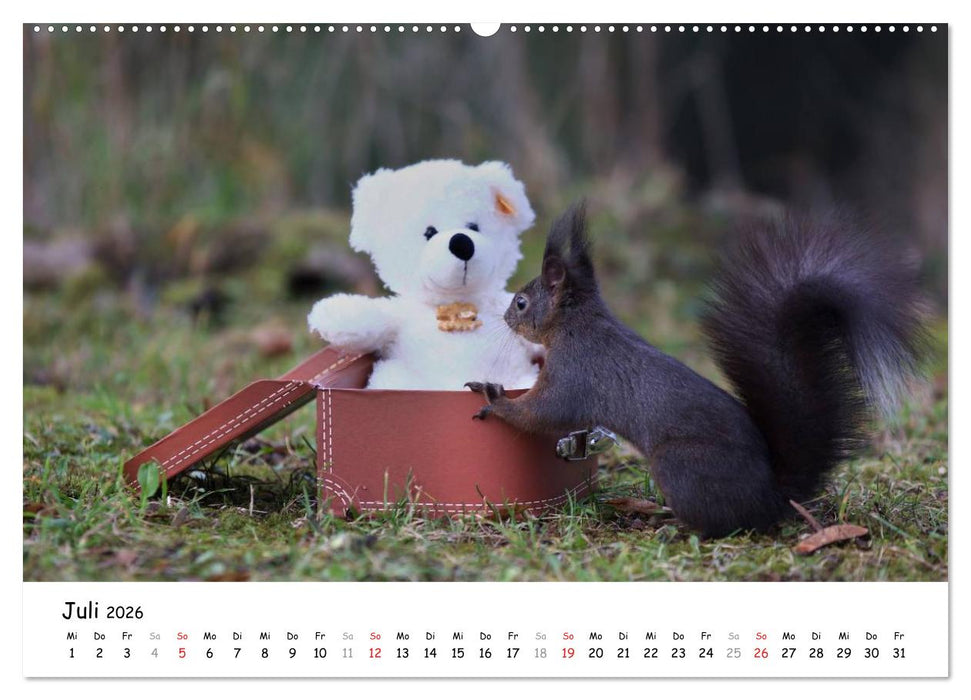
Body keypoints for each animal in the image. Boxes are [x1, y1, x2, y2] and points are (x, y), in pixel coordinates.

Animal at [465, 203, 927, 537]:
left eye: (522, 302)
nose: (505, 318)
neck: (577, 326)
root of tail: (771, 496)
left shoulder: (576, 373)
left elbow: (542, 413)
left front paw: (496, 399)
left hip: (680, 465)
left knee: (723, 526)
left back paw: (674, 526)